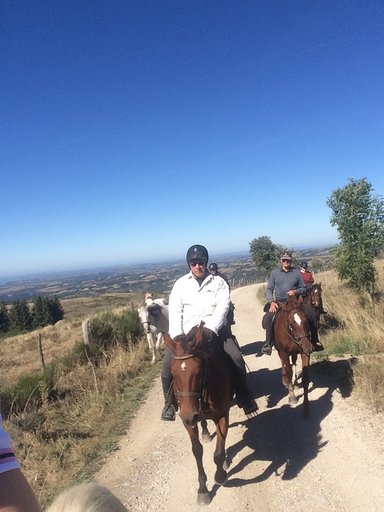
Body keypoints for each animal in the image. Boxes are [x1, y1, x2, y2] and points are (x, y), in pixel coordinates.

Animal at [163, 324, 234, 504]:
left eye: (199, 371)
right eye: (172, 373)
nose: (189, 415)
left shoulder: (222, 416)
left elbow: (219, 452)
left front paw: (220, 475)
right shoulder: (187, 422)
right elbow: (197, 451)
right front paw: (203, 489)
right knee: (202, 422)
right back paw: (205, 432)